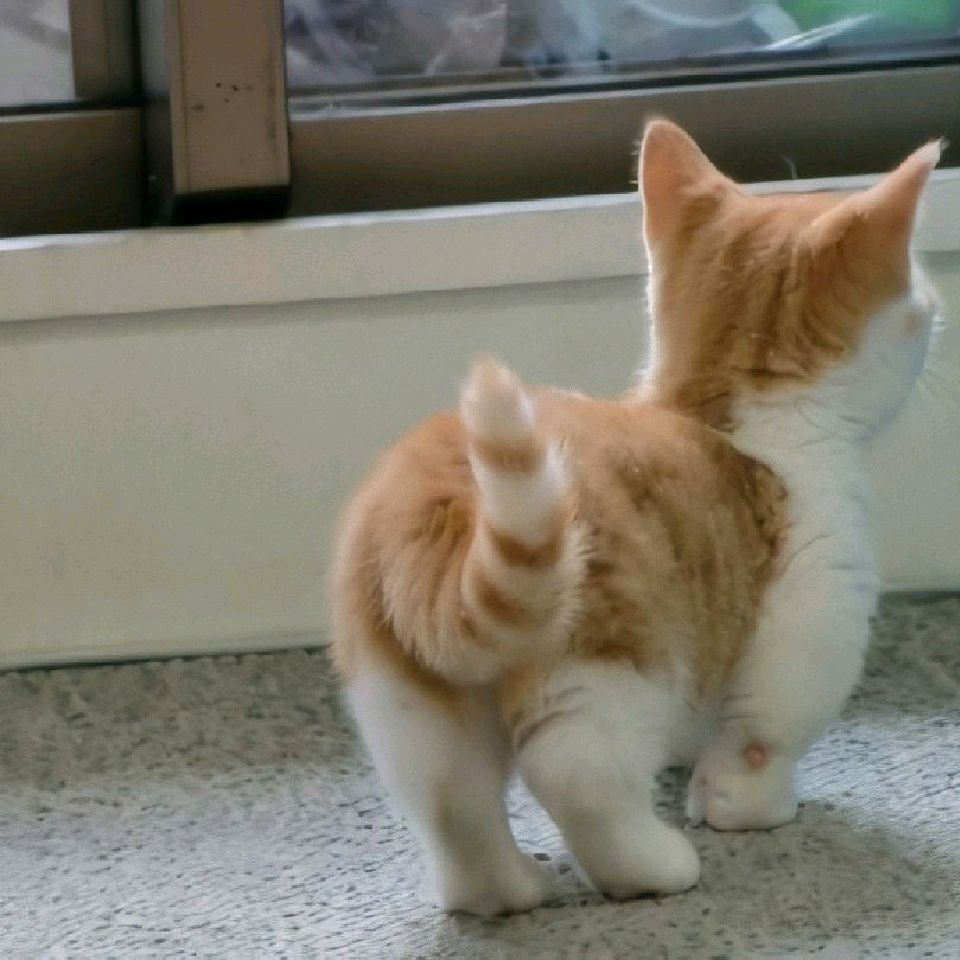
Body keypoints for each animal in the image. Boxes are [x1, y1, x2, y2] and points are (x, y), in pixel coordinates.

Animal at [330, 119, 941, 915]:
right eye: (920, 297)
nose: (938, 304)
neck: (735, 418)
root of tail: (442, 494)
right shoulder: (812, 616)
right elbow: (765, 734)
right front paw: (748, 806)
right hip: (605, 666)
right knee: (576, 776)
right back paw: (652, 863)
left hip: (407, 701)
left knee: (451, 802)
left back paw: (507, 889)